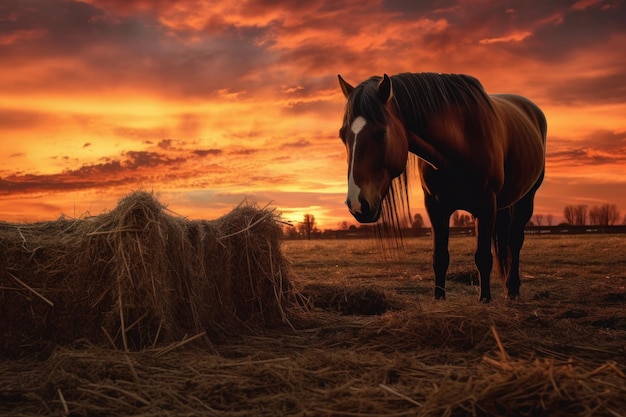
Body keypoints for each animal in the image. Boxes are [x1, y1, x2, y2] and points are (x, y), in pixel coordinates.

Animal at [334, 70, 544, 300]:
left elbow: (483, 257)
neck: (462, 140)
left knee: (515, 241)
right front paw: (439, 297)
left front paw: (485, 299)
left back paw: (513, 289)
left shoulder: (487, 204)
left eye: (381, 133)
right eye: (342, 135)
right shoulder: (435, 206)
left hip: (526, 198)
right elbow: (440, 257)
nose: (357, 204)